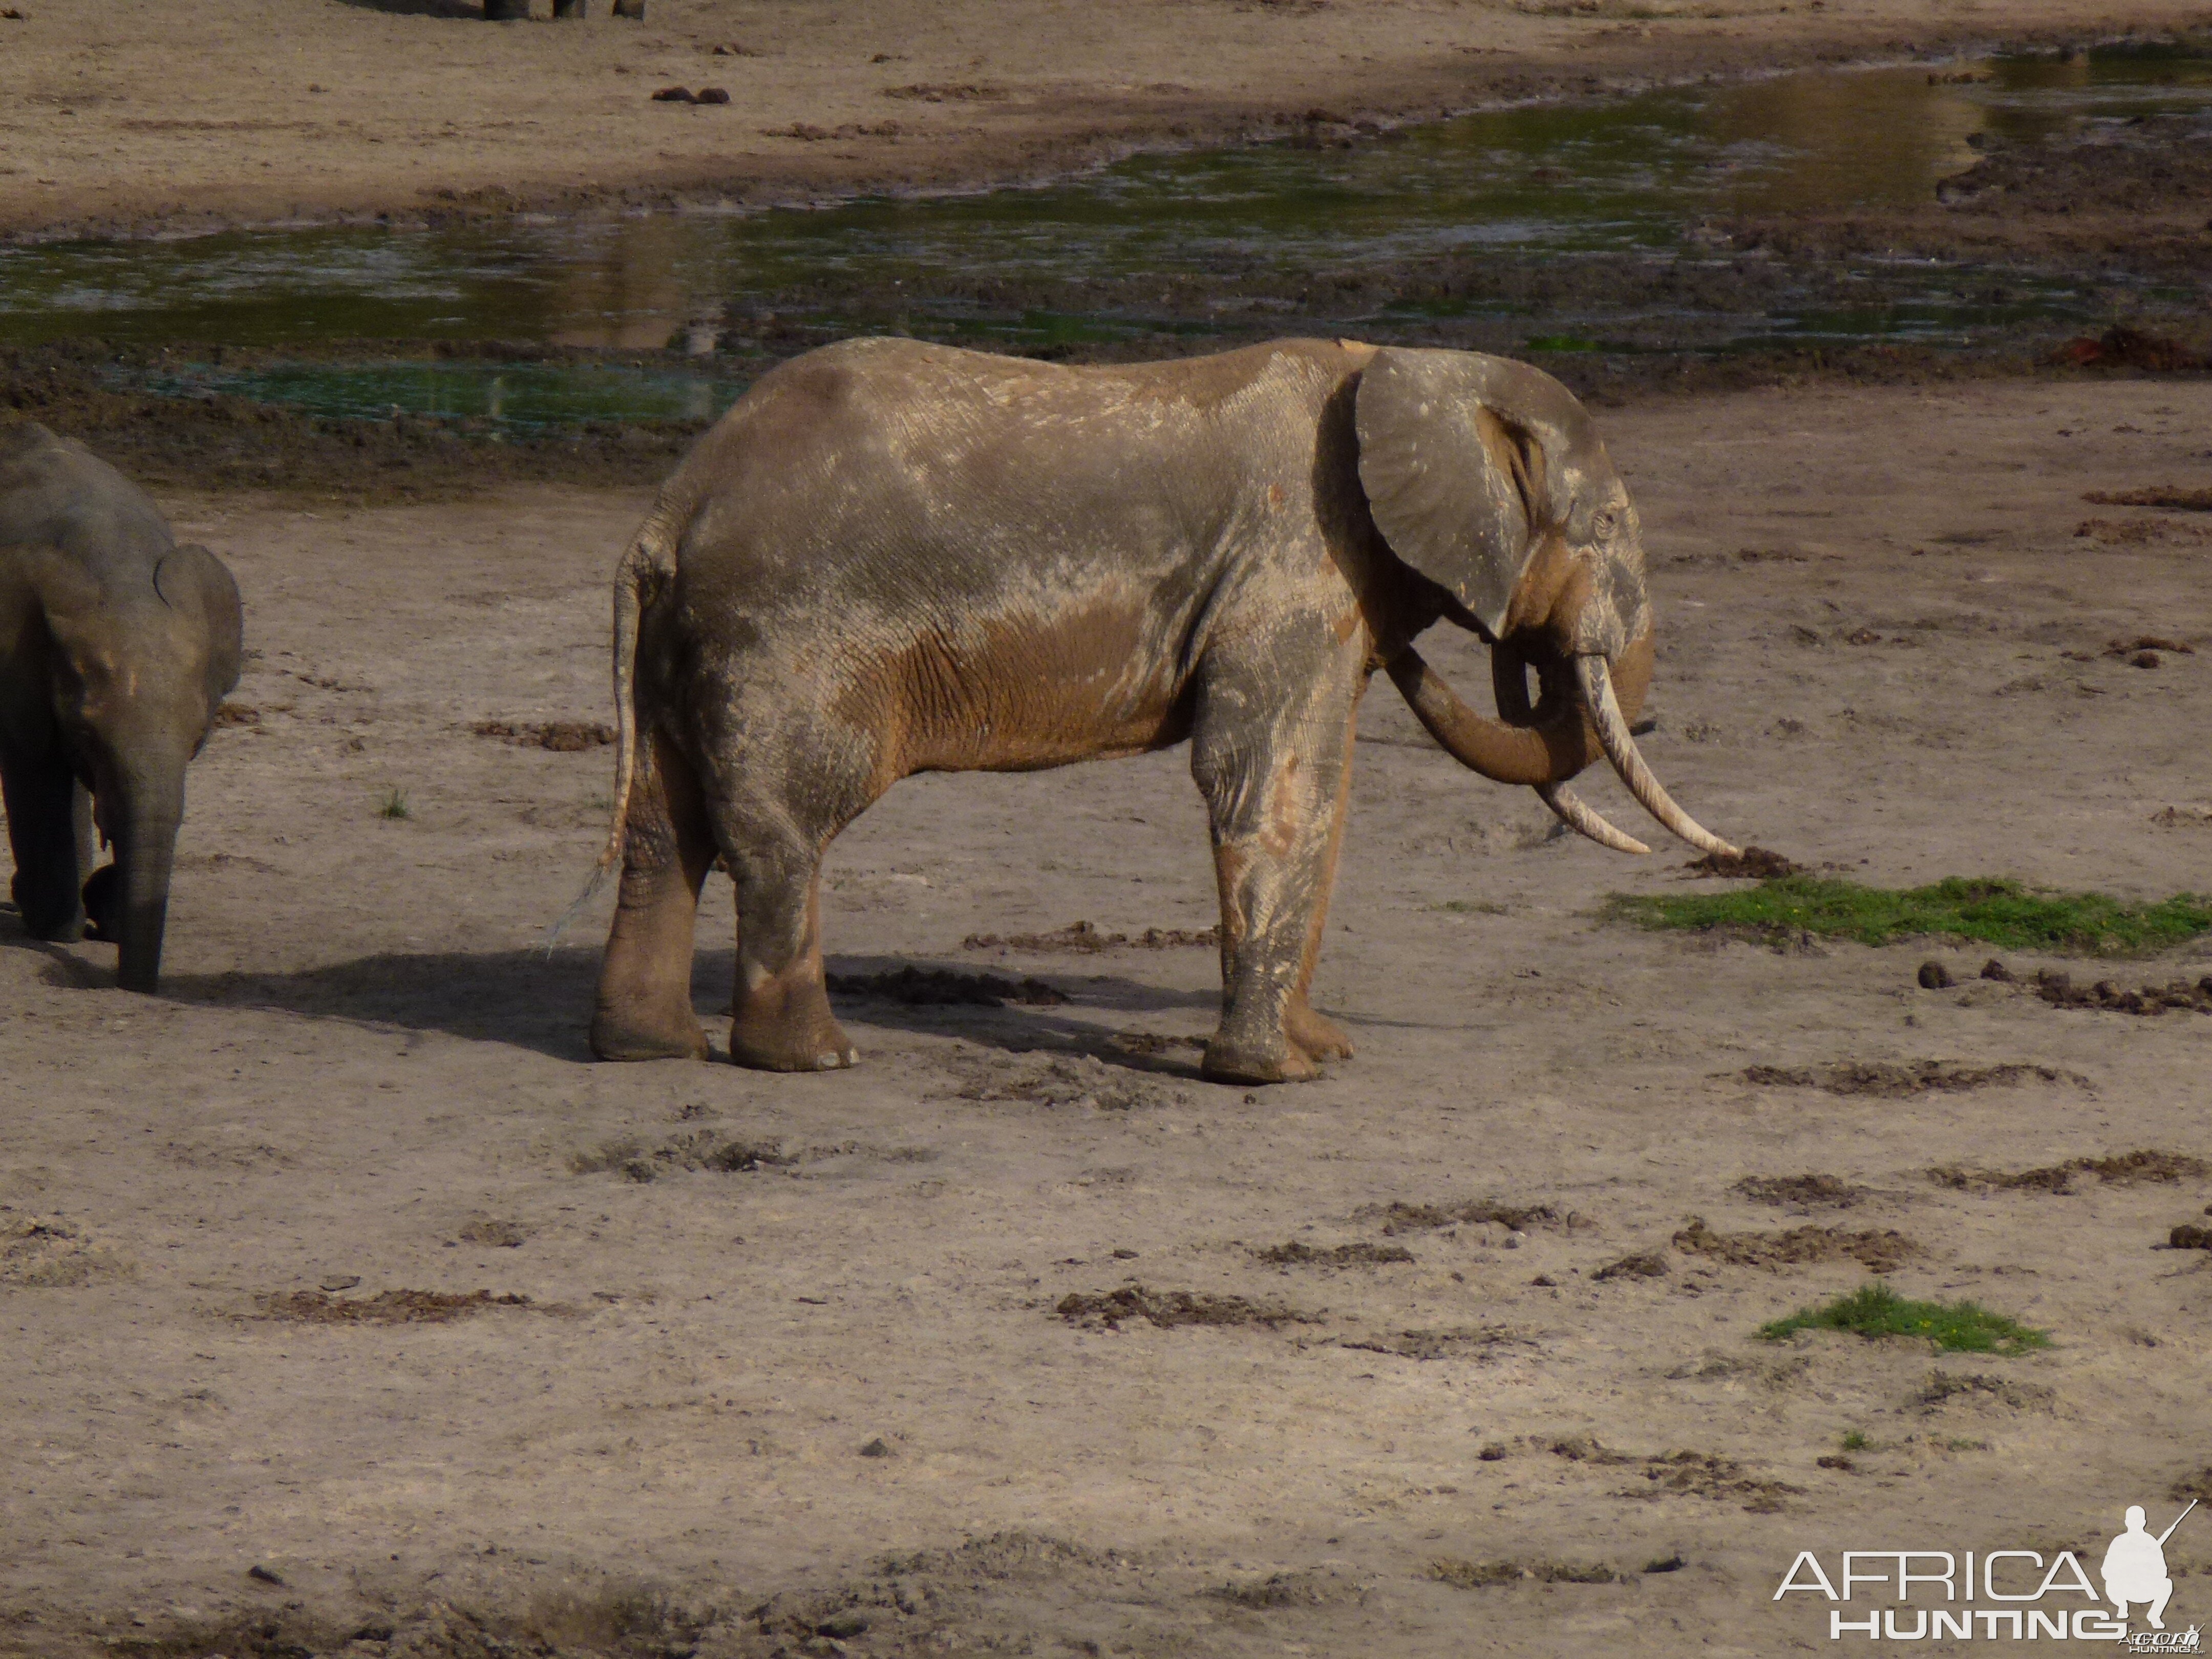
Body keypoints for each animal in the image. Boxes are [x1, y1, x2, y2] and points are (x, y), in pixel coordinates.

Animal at [0, 429, 243, 999]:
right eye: (88, 737)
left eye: (198, 740)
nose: (134, 988)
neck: (118, 574)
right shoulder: (18, 666)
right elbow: (35, 774)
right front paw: (54, 923)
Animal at [592, 338, 1743, 1093]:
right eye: (1606, 524)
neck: (1402, 367)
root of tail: (672, 505)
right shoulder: (1293, 558)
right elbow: (1266, 783)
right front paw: (1273, 1078)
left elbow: (1324, 786)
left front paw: (1325, 1051)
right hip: (784, 636)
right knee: (782, 830)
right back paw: (816, 1059)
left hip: (695, 643)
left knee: (662, 829)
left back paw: (652, 1049)